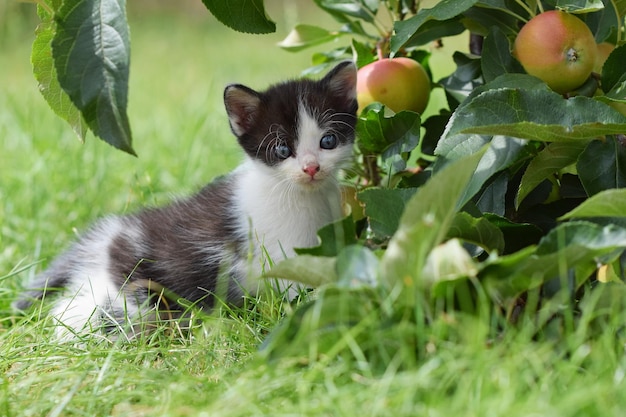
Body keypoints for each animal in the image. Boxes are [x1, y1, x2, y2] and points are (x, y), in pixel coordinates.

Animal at [14, 62, 356, 342]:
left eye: (328, 141)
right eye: (283, 150)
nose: (311, 168)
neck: (299, 198)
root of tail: (108, 237)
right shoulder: (281, 255)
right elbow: (300, 289)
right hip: (136, 286)